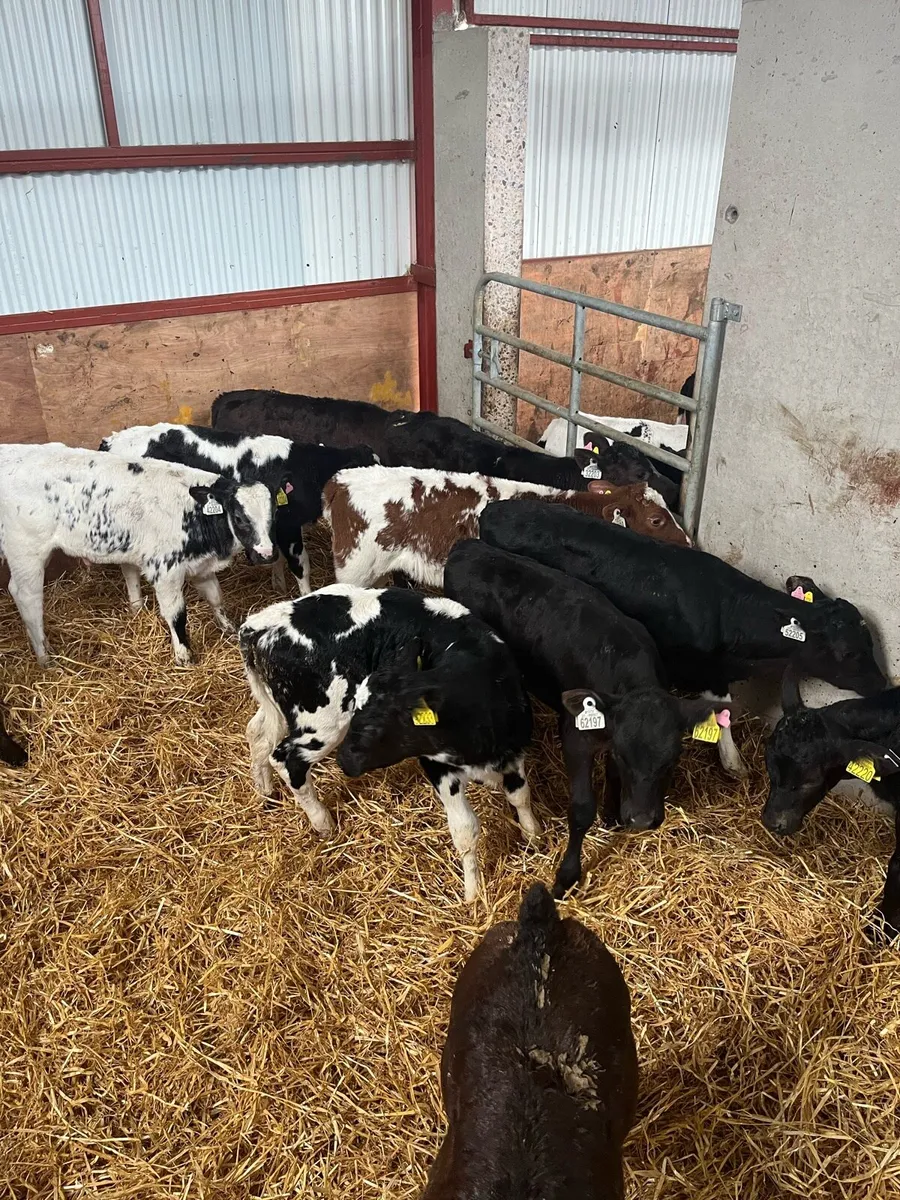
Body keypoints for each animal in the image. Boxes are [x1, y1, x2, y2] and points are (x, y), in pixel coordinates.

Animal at [0, 443, 276, 665]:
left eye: (273, 514)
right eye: (239, 517)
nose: (267, 554)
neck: (192, 512)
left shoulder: (199, 565)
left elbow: (216, 597)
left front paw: (228, 627)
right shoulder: (165, 569)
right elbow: (176, 614)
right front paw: (184, 656)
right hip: (26, 551)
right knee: (26, 596)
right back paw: (45, 657)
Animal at [100, 422, 376, 595]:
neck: (303, 468)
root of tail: (111, 441)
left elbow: (275, 554)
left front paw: (278, 584)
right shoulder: (288, 525)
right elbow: (300, 565)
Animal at [238, 584, 536, 902]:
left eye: (379, 725)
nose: (345, 761)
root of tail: (260, 625)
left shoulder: (514, 749)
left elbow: (520, 795)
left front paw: (534, 835)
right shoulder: (438, 766)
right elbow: (466, 830)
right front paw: (472, 894)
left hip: (281, 708)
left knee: (257, 734)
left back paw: (265, 791)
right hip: (323, 722)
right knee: (286, 758)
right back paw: (322, 822)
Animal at [444, 539, 726, 894]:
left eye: (673, 758)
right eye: (624, 754)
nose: (642, 820)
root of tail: (467, 546)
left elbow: (613, 776)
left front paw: (612, 814)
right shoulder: (576, 736)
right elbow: (581, 809)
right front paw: (566, 876)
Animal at [479, 501, 887, 779]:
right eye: (849, 652)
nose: (881, 684)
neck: (728, 608)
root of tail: (497, 508)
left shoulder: (715, 669)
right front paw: (733, 762)